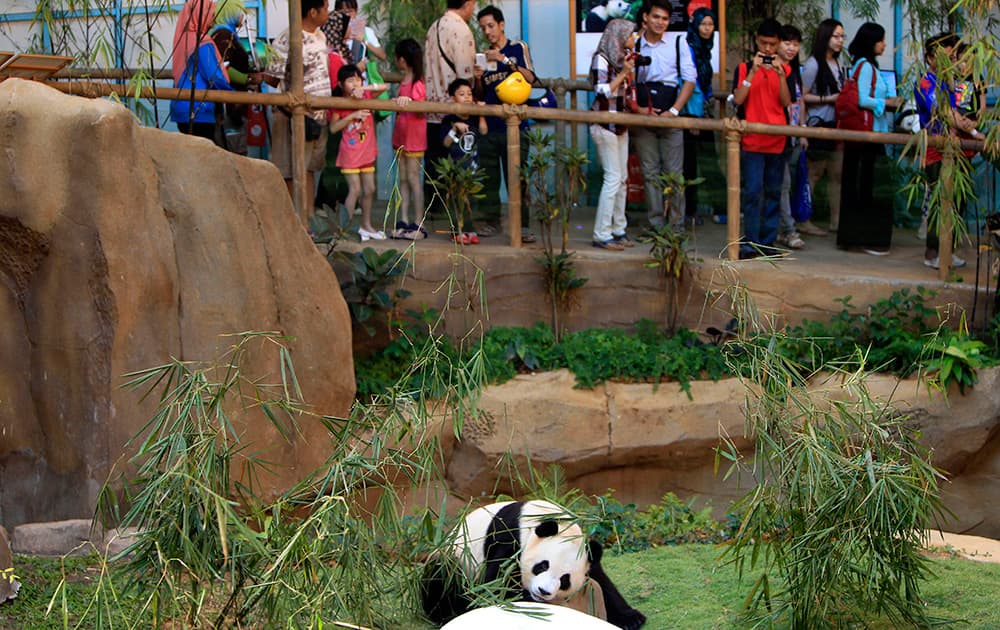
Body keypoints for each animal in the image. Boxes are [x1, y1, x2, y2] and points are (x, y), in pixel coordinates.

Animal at [420, 504, 640, 630]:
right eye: (541, 566)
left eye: (565, 580)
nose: (543, 591)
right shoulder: (508, 539)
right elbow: (496, 587)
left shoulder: (586, 555)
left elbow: (603, 583)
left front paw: (632, 618)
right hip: (455, 557)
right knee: (441, 578)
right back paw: (449, 612)